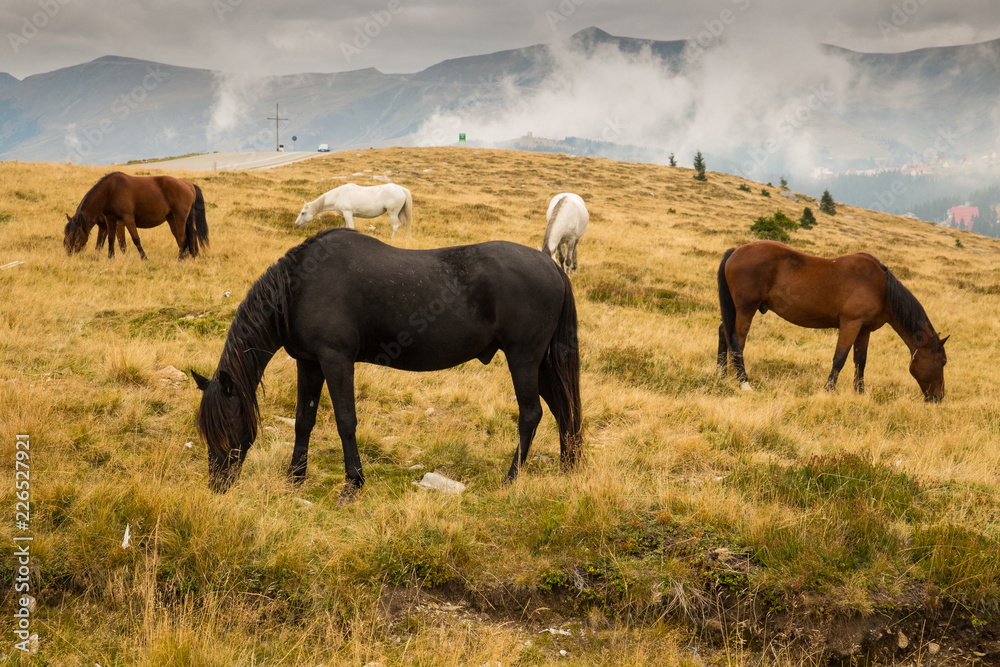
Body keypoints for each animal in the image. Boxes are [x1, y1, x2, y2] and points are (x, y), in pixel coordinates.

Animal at [63, 172, 209, 260]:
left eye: (76, 234)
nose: (69, 252)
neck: (111, 190)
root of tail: (188, 184)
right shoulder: (110, 220)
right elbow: (111, 239)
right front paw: (110, 257)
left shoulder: (127, 219)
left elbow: (134, 239)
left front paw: (144, 258)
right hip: (173, 218)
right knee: (186, 236)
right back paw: (190, 256)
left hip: (180, 217)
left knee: (183, 237)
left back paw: (181, 259)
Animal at [191, 230, 584, 500]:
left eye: (226, 427)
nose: (217, 485)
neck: (299, 288)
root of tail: (552, 267)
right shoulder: (309, 364)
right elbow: (304, 421)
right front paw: (294, 478)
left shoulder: (336, 360)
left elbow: (345, 421)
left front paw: (352, 484)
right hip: (541, 364)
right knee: (563, 409)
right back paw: (569, 469)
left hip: (523, 359)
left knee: (531, 415)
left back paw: (511, 478)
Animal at [720, 243, 944, 404]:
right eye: (942, 362)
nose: (939, 397)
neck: (882, 288)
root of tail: (735, 251)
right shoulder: (850, 324)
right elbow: (840, 359)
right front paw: (828, 390)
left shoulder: (864, 331)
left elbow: (860, 362)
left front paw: (860, 393)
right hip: (746, 309)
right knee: (737, 342)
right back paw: (744, 383)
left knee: (723, 332)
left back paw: (721, 374)